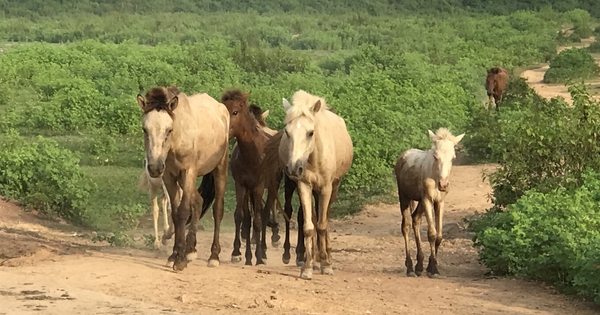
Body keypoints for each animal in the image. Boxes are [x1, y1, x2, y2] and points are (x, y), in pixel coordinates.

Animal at [138, 86, 230, 272]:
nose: (154, 168)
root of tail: (222, 109)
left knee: (217, 209)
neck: (177, 140)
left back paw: (213, 256)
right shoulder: (169, 176)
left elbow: (182, 212)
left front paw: (179, 260)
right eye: (145, 129)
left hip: (219, 169)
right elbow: (174, 213)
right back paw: (191, 250)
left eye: (169, 130)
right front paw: (174, 255)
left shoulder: (188, 172)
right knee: (199, 201)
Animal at [221, 89, 276, 266]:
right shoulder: (241, 185)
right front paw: (239, 254)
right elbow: (241, 217)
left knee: (264, 215)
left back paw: (263, 250)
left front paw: (257, 257)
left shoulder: (259, 187)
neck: (252, 155)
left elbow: (257, 220)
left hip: (271, 187)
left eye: (235, 112)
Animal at [262, 90, 354, 280]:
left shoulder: (326, 188)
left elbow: (322, 225)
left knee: (325, 217)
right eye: (287, 132)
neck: (314, 156)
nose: (294, 167)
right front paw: (307, 267)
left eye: (311, 133)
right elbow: (309, 227)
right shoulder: (304, 186)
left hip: (333, 188)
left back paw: (326, 257)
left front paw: (326, 264)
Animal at [396, 127, 466, 278]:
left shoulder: (440, 202)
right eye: (435, 156)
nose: (443, 185)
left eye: (453, 157)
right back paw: (410, 268)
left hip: (420, 202)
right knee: (406, 225)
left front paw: (431, 267)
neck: (435, 176)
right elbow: (431, 234)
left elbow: (439, 235)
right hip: (404, 197)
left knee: (416, 219)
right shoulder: (427, 200)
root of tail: (402, 157)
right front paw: (433, 269)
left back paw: (419, 266)